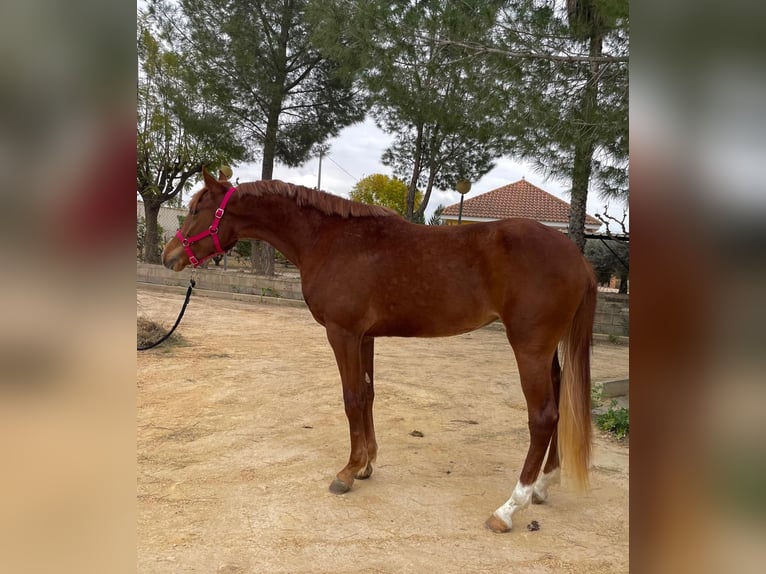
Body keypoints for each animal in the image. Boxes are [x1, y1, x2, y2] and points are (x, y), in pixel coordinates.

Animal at [161, 168, 597, 533]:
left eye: (197, 209)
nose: (169, 257)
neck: (330, 241)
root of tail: (578, 258)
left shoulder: (343, 334)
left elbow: (351, 397)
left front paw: (348, 471)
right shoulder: (365, 337)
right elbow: (368, 394)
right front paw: (367, 463)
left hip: (529, 349)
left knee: (543, 417)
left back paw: (509, 508)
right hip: (546, 352)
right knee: (558, 403)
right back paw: (542, 485)